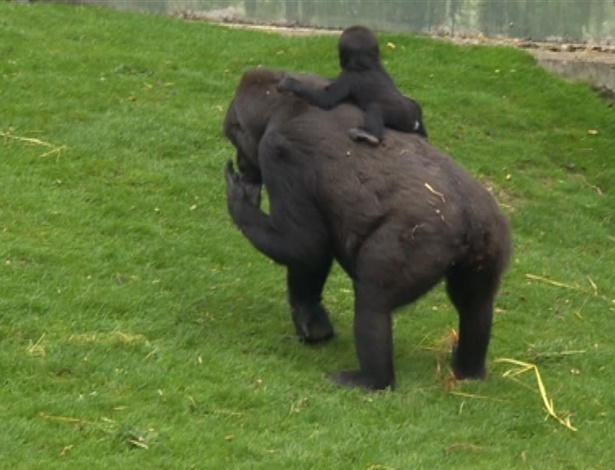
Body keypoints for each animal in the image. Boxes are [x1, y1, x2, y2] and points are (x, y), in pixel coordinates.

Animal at [224, 67, 512, 390]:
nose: (242, 162)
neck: (281, 106)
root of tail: (470, 220)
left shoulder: (277, 153)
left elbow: (304, 248)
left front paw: (239, 202)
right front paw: (313, 322)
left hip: (417, 241)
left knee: (373, 301)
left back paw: (372, 379)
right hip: (492, 237)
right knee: (475, 304)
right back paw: (469, 369)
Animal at [280, 23, 428, 144]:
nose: (341, 61)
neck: (367, 65)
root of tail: (414, 121)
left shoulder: (349, 76)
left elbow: (327, 100)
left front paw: (291, 84)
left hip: (402, 115)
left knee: (375, 108)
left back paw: (371, 135)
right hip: (413, 109)